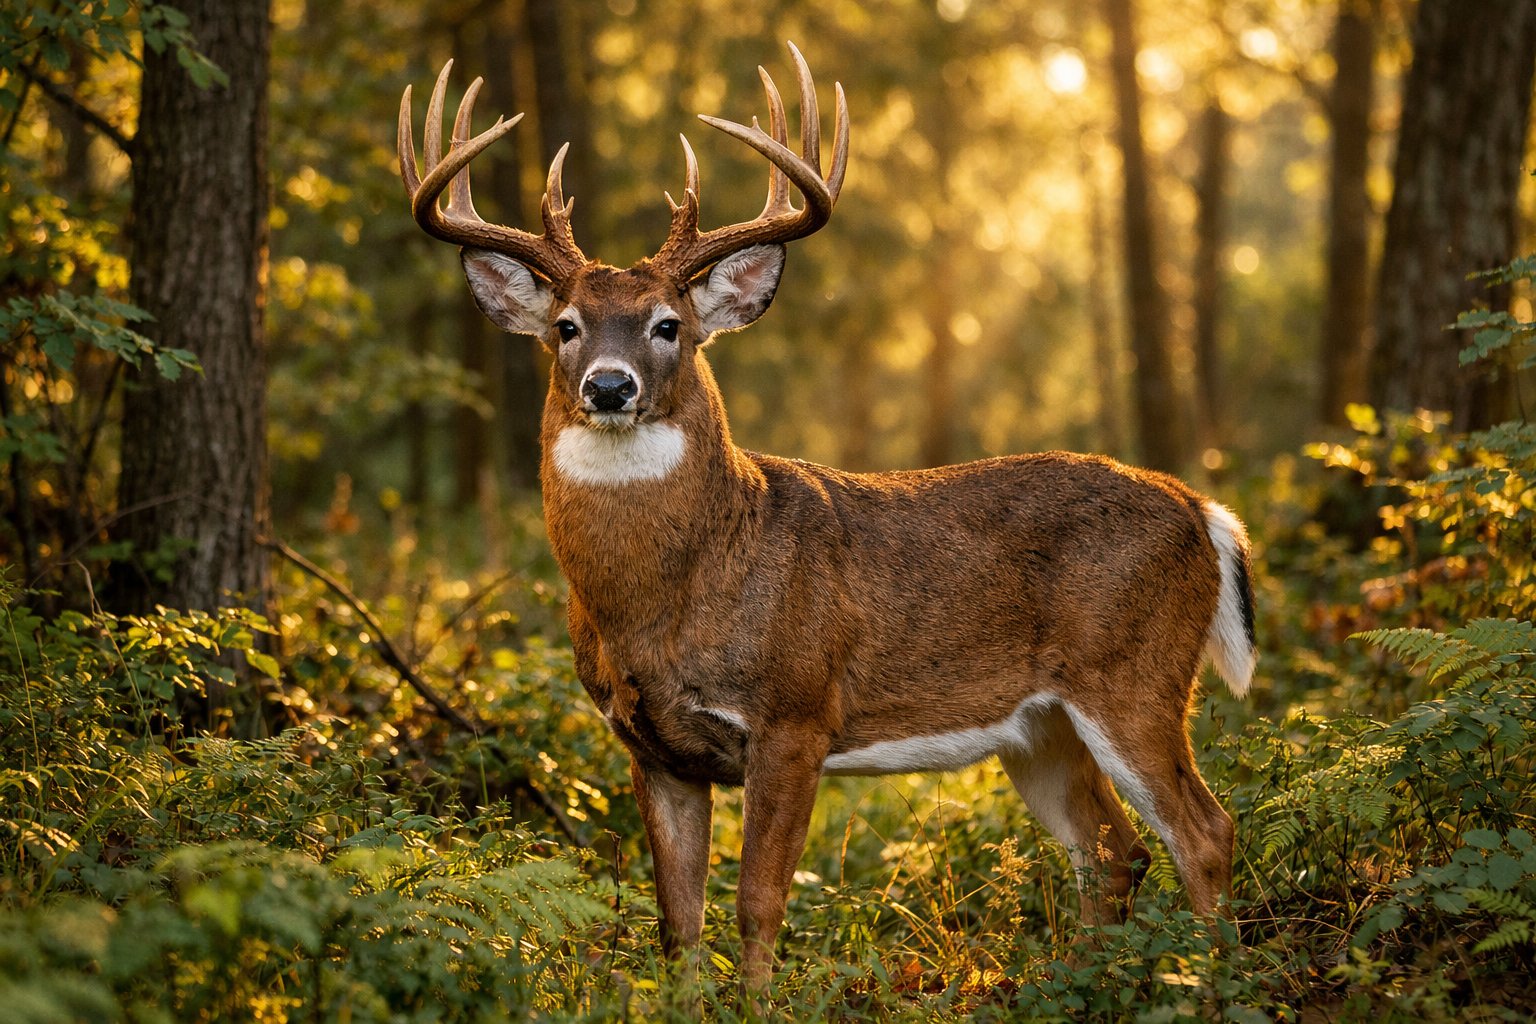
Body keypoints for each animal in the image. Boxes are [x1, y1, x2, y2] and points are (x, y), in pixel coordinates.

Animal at [397, 42, 1257, 995]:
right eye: (564, 326)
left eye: (669, 325)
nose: (609, 386)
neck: (669, 598)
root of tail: (1204, 511)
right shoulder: (650, 745)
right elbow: (677, 920)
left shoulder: (795, 714)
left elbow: (757, 902)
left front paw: (757, 1003)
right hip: (1040, 726)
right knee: (1113, 853)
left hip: (1134, 673)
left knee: (1202, 832)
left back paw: (1218, 982)